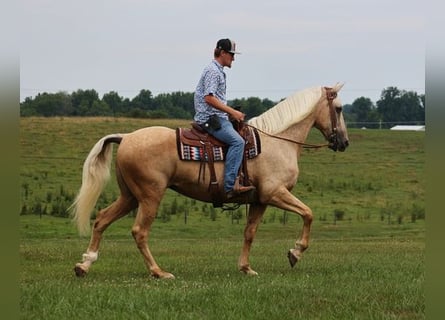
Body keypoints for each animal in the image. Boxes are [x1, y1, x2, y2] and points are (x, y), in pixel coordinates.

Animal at [71, 84, 348, 278]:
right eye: (339, 108)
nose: (344, 142)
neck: (277, 141)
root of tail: (126, 137)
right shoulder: (275, 193)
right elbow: (308, 213)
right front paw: (295, 253)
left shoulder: (259, 200)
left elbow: (249, 233)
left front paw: (246, 268)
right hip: (150, 196)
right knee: (139, 231)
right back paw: (159, 272)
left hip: (129, 196)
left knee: (102, 219)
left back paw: (84, 265)